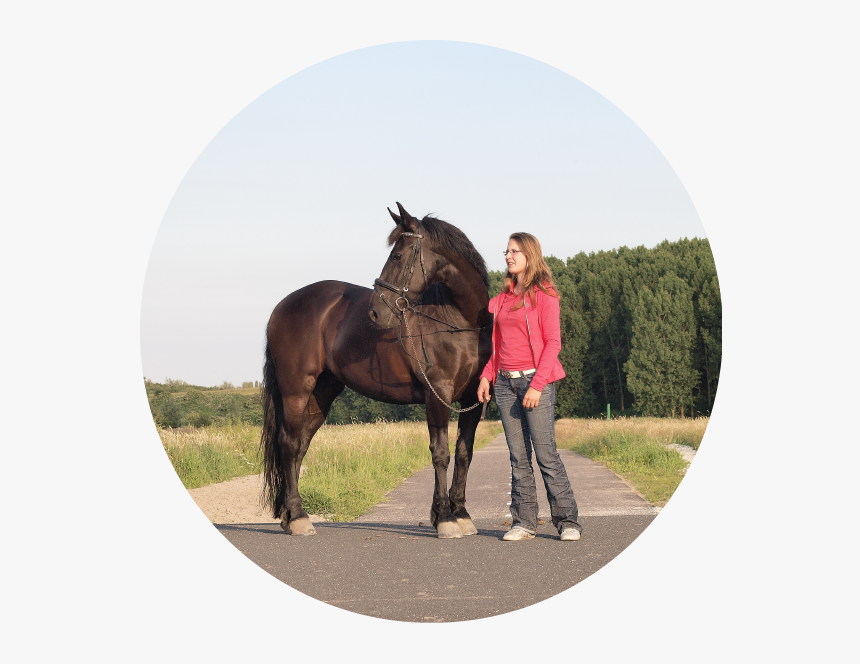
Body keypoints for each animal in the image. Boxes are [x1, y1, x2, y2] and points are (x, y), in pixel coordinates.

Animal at [260, 202, 493, 538]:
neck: (459, 321)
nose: (375, 312)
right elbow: (440, 454)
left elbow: (464, 454)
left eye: (397, 255)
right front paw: (445, 519)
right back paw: (300, 518)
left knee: (300, 446)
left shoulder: (473, 397)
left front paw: (460, 514)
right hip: (296, 390)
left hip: (321, 393)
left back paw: (289, 515)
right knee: (288, 445)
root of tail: (282, 306)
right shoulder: (437, 394)